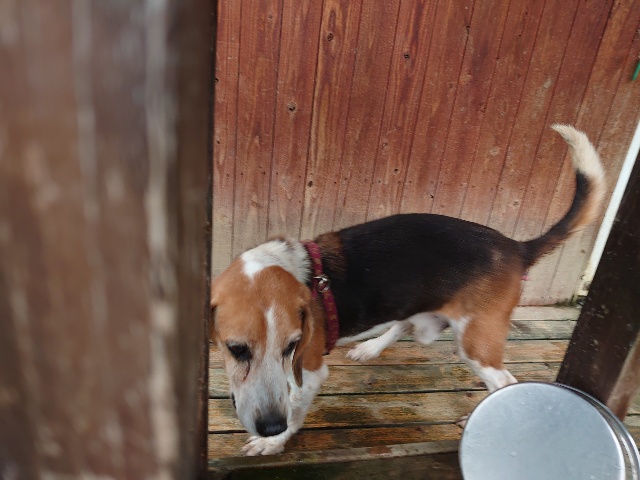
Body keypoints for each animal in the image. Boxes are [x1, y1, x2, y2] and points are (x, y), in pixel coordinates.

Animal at [210, 125, 605, 456]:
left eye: (292, 346)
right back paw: (370, 347)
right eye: (236, 349)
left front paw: (273, 442)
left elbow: (293, 409)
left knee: (504, 380)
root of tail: (517, 248)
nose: (268, 426)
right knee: (404, 323)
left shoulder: (308, 372)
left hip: (477, 342)